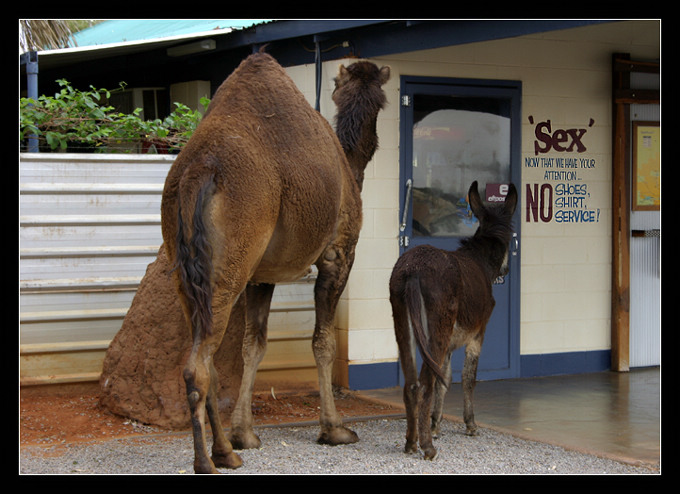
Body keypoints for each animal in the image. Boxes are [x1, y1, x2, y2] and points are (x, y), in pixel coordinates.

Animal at [160, 51, 390, 474]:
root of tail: (198, 172)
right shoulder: (338, 253)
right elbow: (323, 343)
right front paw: (335, 429)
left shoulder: (260, 276)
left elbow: (254, 345)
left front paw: (245, 434)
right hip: (229, 263)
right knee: (197, 366)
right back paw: (207, 461)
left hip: (186, 270)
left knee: (207, 359)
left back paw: (226, 451)